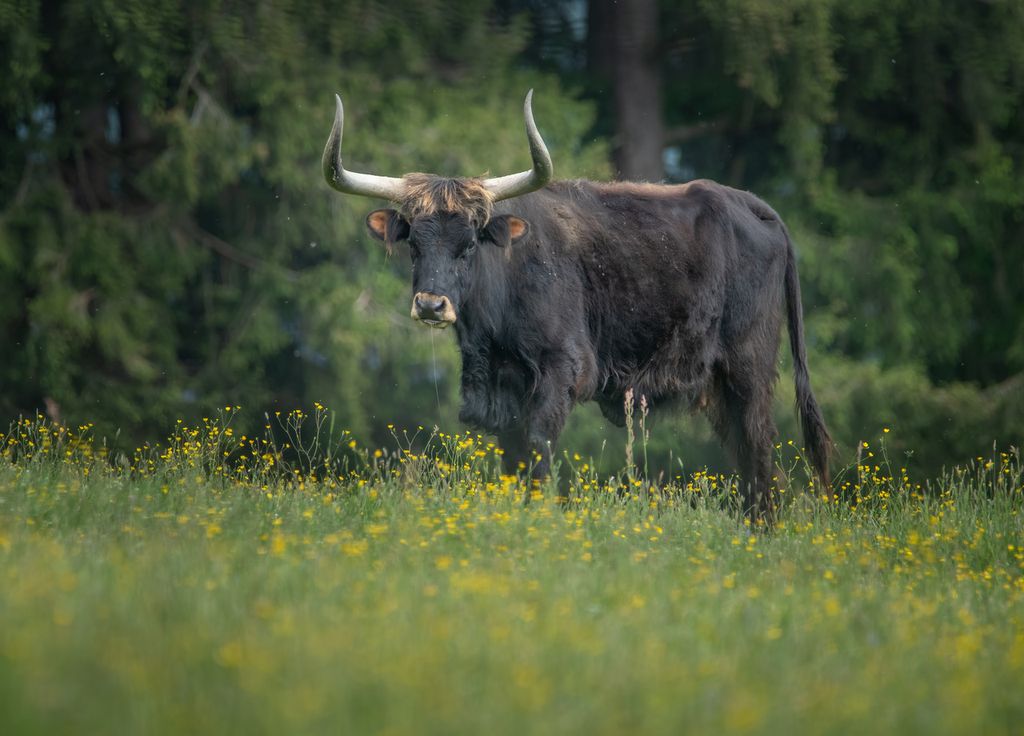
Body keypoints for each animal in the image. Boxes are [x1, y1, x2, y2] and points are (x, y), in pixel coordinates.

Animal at [322, 90, 831, 522]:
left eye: (468, 245)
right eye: (414, 245)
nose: (431, 305)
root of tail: (754, 207)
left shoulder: (562, 369)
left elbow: (538, 446)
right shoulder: (503, 388)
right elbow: (513, 458)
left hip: (749, 367)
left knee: (758, 447)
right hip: (720, 388)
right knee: (746, 455)